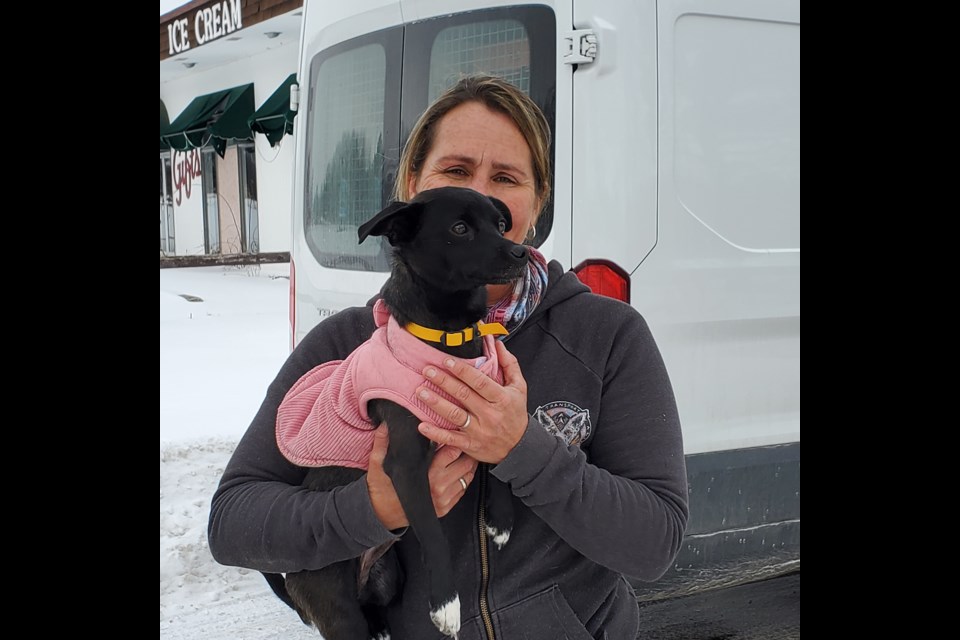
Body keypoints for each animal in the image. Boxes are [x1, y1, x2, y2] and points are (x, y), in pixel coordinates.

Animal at [266, 186, 528, 640]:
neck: (449, 336)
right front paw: (446, 605)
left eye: (499, 224)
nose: (522, 252)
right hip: (337, 607)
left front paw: (500, 519)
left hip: (389, 580)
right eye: (459, 229)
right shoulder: (405, 464)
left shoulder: (485, 415)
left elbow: (498, 457)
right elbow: (434, 535)